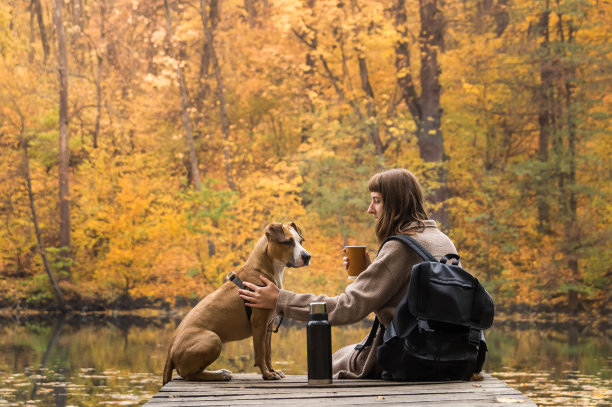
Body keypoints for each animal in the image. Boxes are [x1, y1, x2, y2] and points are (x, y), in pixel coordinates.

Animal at [161, 222, 308, 384]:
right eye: (288, 242)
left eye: (300, 241)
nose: (307, 257)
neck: (262, 269)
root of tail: (170, 352)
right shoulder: (259, 324)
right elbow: (260, 353)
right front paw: (267, 374)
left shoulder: (268, 325)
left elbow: (268, 352)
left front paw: (272, 371)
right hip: (212, 339)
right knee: (188, 374)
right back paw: (219, 375)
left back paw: (220, 372)